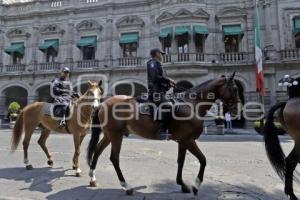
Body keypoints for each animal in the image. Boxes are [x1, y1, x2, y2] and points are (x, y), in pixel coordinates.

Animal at [85, 72, 240, 195]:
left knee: (97, 150)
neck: (191, 104)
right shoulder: (188, 140)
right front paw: (196, 185)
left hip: (109, 135)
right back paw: (126, 186)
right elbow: (203, 160)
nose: (235, 109)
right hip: (116, 136)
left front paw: (182, 184)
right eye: (234, 88)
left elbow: (181, 161)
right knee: (114, 158)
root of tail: (104, 102)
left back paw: (92, 177)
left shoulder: (182, 141)